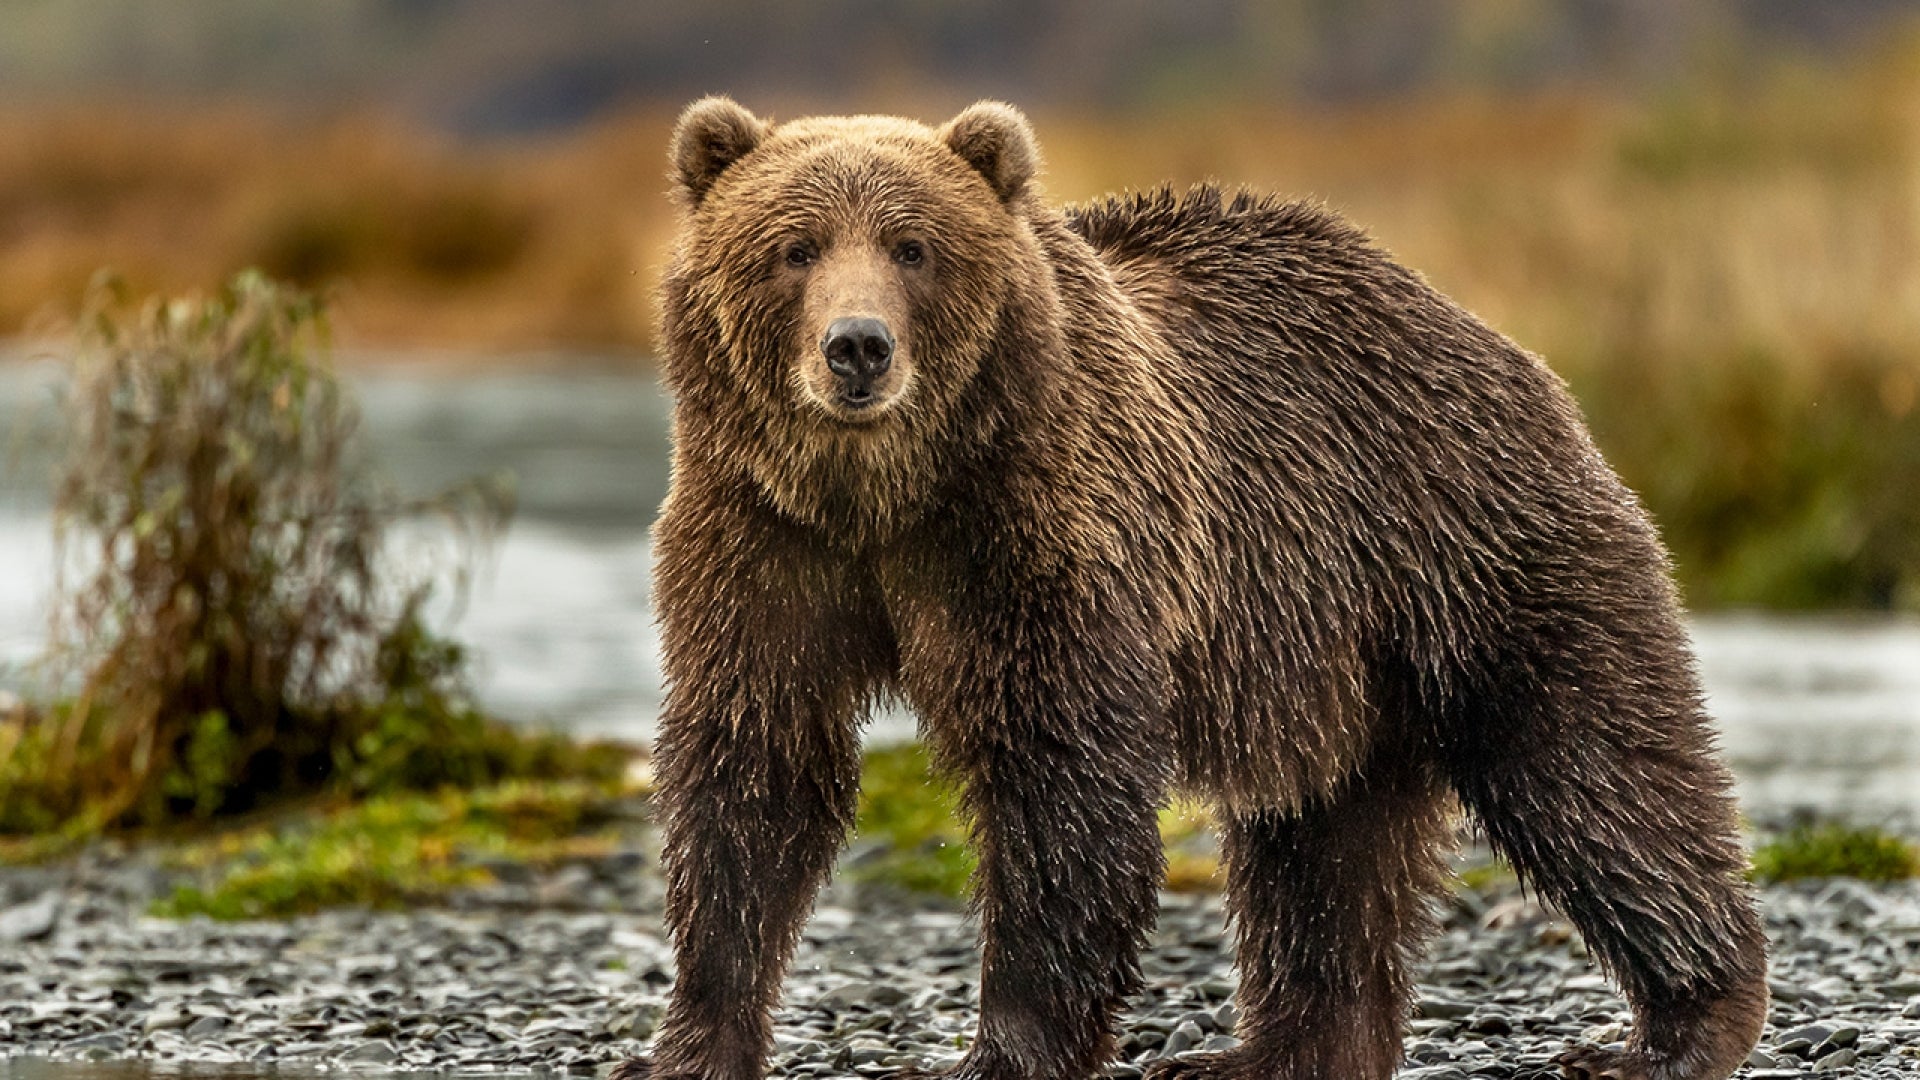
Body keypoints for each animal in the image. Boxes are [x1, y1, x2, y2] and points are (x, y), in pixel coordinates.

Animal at [614, 98, 1766, 1076]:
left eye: (913, 247)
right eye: (794, 247)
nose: (858, 347)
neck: (886, 496)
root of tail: (1485, 333)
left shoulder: (1038, 536)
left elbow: (1061, 779)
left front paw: (1008, 1046)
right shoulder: (763, 539)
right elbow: (757, 766)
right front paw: (696, 1040)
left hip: (1467, 541)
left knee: (1591, 765)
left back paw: (1674, 1027)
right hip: (1333, 656)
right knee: (1322, 843)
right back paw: (1265, 1050)